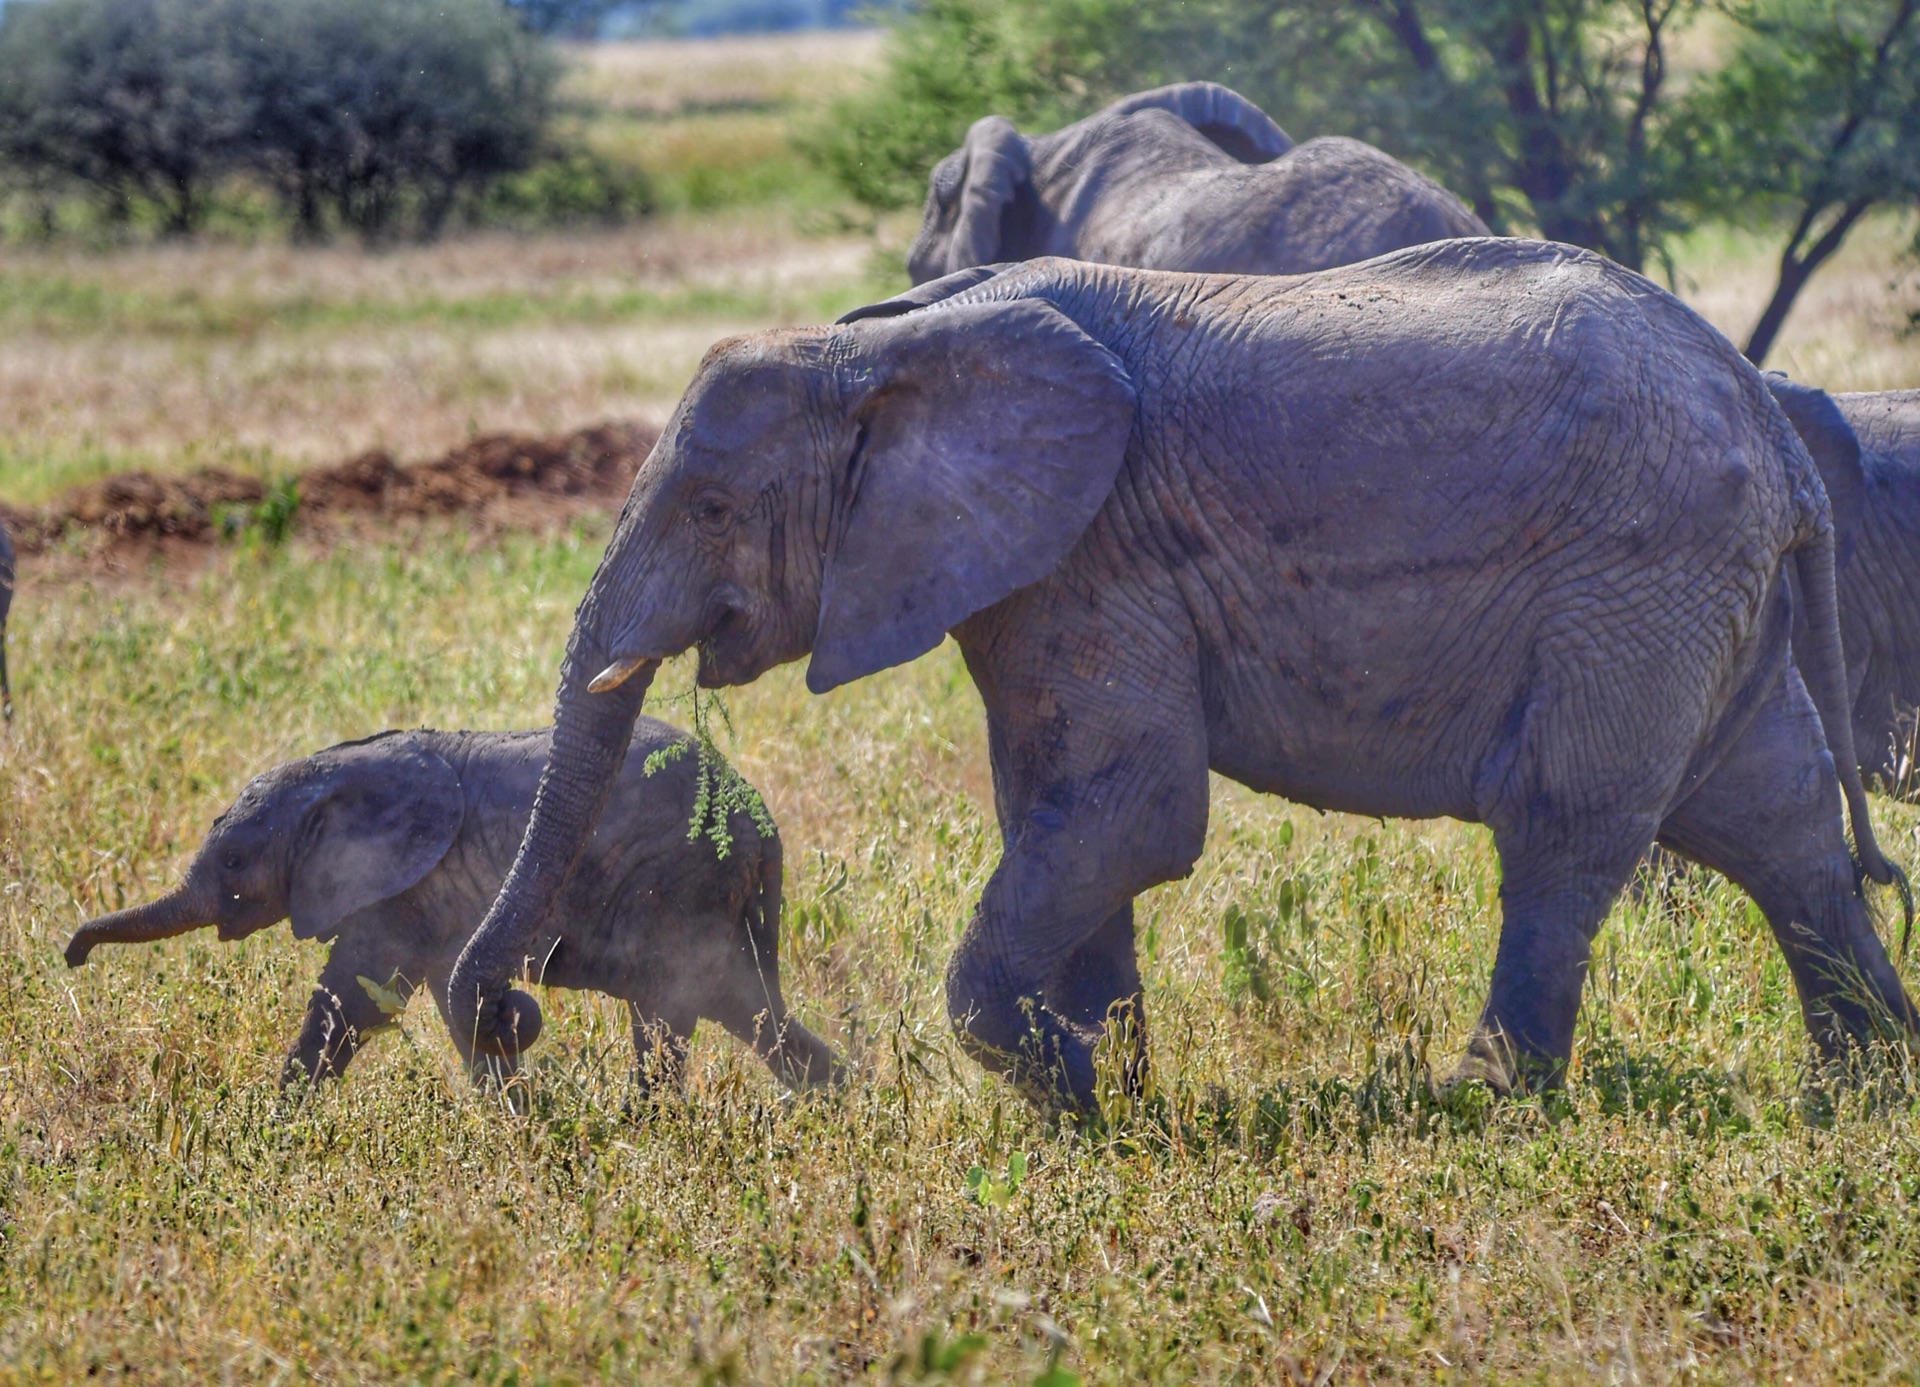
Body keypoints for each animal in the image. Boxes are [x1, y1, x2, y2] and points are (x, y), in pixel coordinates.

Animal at [65, 722, 833, 1091]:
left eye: (231, 863)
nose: (73, 953)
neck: (336, 775)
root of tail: (761, 821)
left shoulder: (410, 890)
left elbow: (357, 998)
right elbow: (395, 1004)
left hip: (675, 887)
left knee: (672, 1014)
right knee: (749, 1008)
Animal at [445, 243, 1904, 1106]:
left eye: (707, 508)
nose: (516, 1022)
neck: (882, 347)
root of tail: (1765, 409)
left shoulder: (1099, 549)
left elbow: (1127, 811)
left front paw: (1075, 1096)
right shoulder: (1043, 568)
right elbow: (1058, 811)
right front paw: (1117, 1095)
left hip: (1633, 576)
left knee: (1567, 822)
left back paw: (1482, 1100)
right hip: (1699, 591)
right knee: (1775, 818)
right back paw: (1866, 1086)